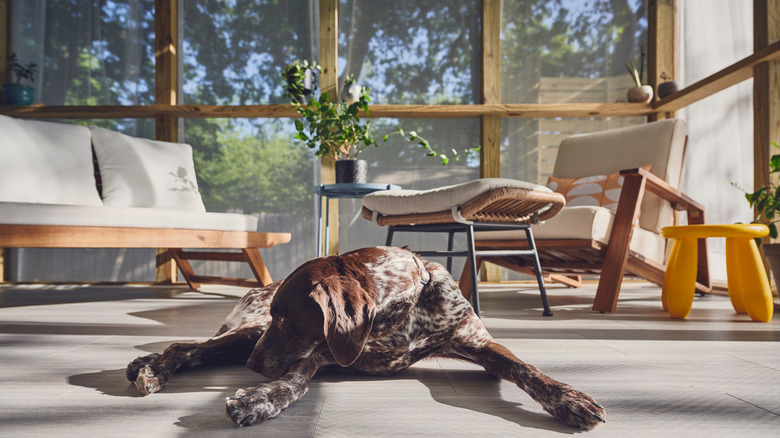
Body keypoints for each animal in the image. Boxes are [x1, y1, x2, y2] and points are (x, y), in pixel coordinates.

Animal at [125, 246, 608, 432]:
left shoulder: (480, 345)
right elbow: (293, 385)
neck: (403, 316)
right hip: (247, 333)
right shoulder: (319, 353)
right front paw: (259, 399)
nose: (253, 368)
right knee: (186, 348)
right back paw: (149, 368)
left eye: (286, 317)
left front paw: (570, 398)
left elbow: (527, 370)